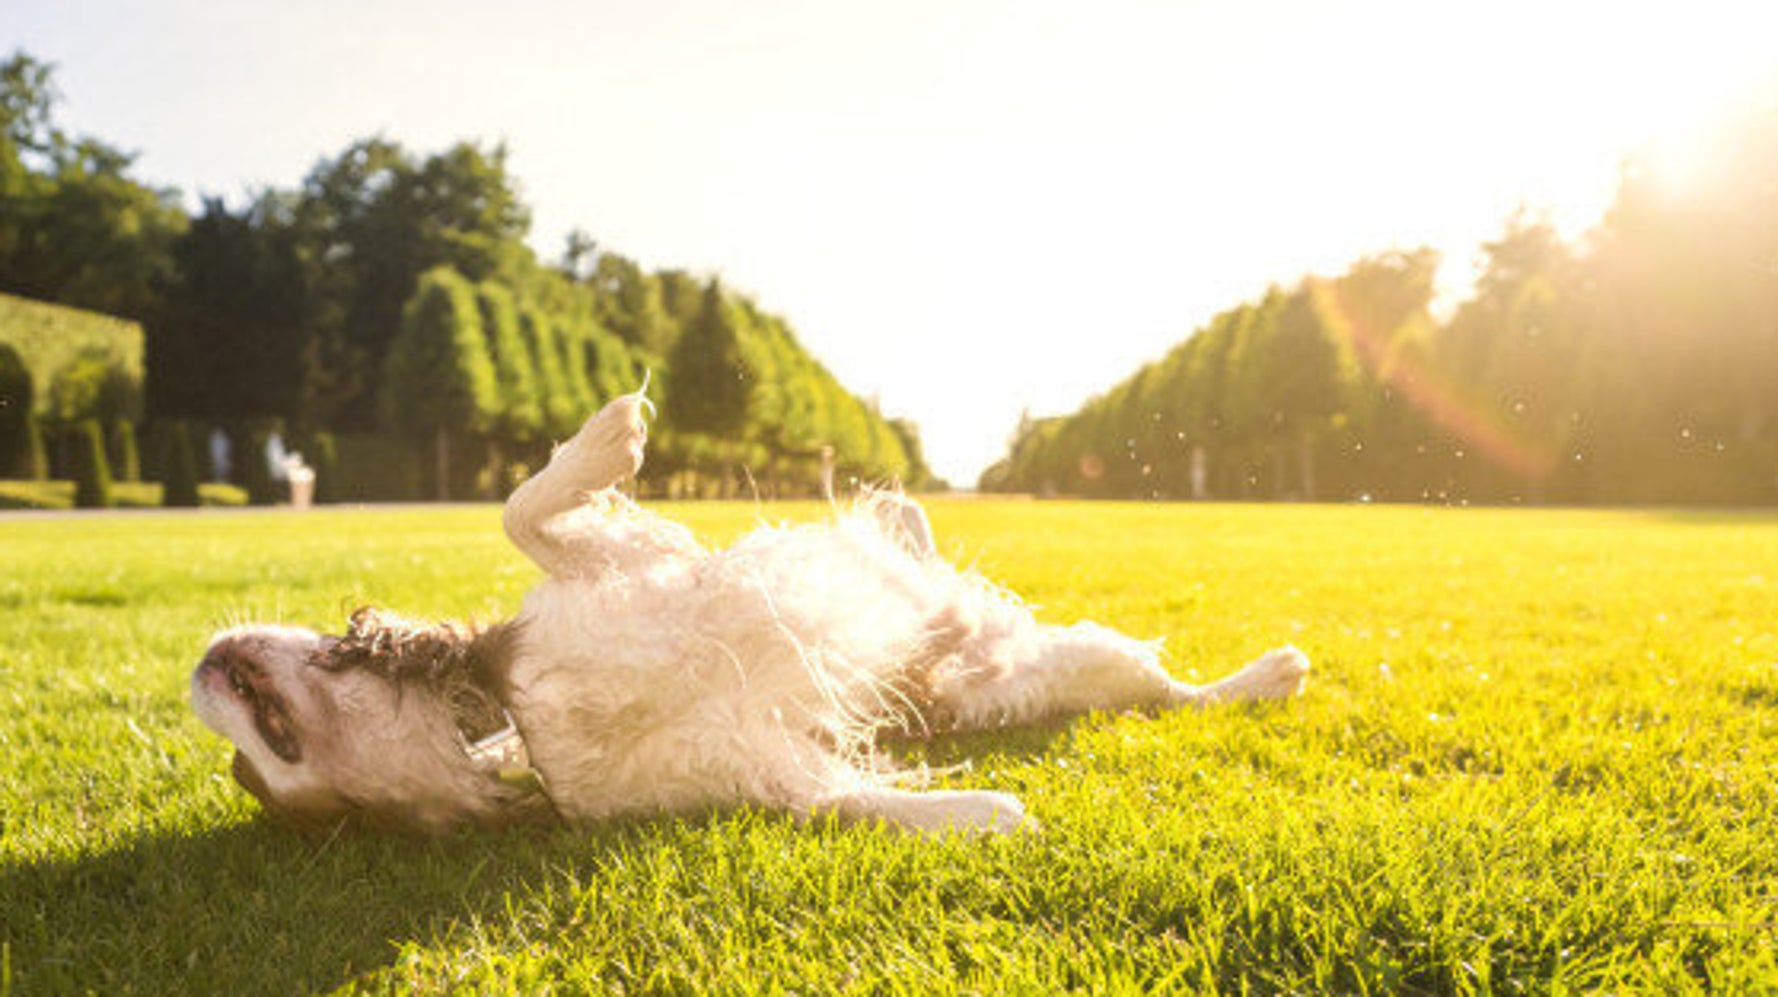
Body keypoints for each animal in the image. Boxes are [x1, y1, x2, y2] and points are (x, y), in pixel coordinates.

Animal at [191, 389, 1308, 831]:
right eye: (260, 774)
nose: (199, 668)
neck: (528, 715)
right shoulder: (762, 767)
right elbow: (851, 800)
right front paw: (984, 812)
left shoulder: (621, 564)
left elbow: (527, 508)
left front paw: (609, 435)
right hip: (1061, 669)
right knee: (1168, 695)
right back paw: (1268, 675)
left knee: (1179, 688)